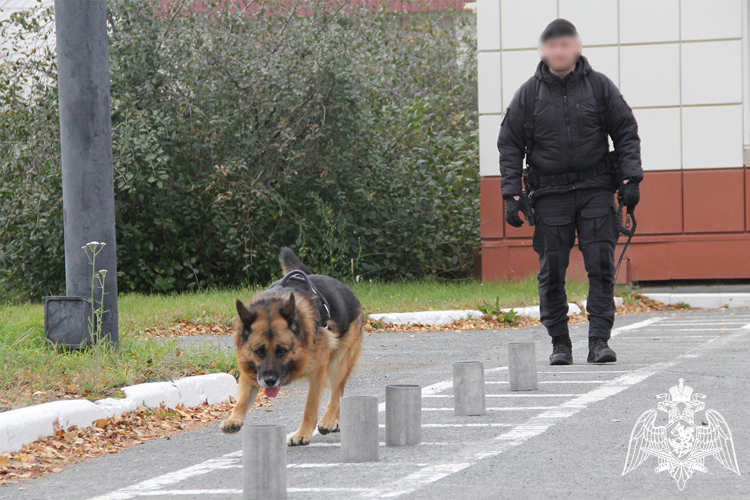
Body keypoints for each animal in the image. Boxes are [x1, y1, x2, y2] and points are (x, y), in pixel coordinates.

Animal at [220, 246, 364, 446]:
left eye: (282, 351)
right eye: (259, 351)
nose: (270, 381)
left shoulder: (318, 373)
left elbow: (310, 408)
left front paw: (302, 434)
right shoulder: (251, 370)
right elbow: (242, 398)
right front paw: (234, 419)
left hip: (338, 364)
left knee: (337, 392)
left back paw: (328, 420)